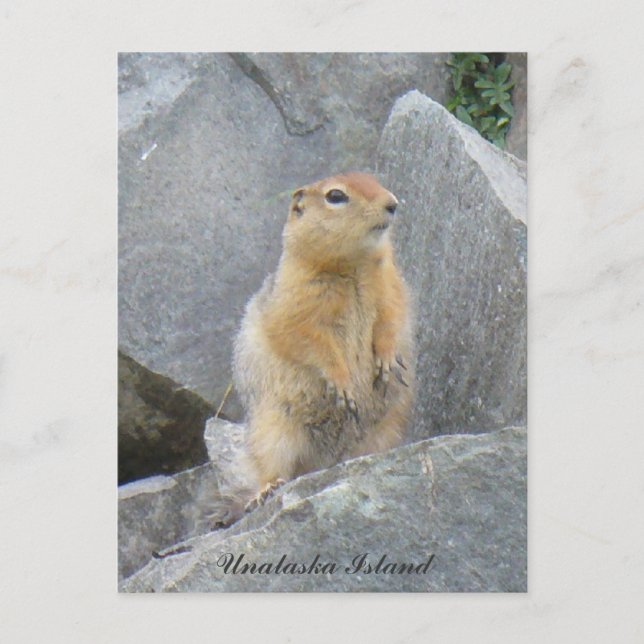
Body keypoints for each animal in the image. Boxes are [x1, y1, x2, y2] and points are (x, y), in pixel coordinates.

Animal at [222, 172, 414, 523]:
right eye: (335, 196)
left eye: (374, 178)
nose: (393, 203)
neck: (352, 265)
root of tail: (323, 463)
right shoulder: (296, 303)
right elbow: (310, 342)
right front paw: (344, 383)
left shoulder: (391, 285)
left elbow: (391, 318)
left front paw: (388, 361)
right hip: (272, 429)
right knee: (270, 464)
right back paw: (266, 490)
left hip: (388, 426)